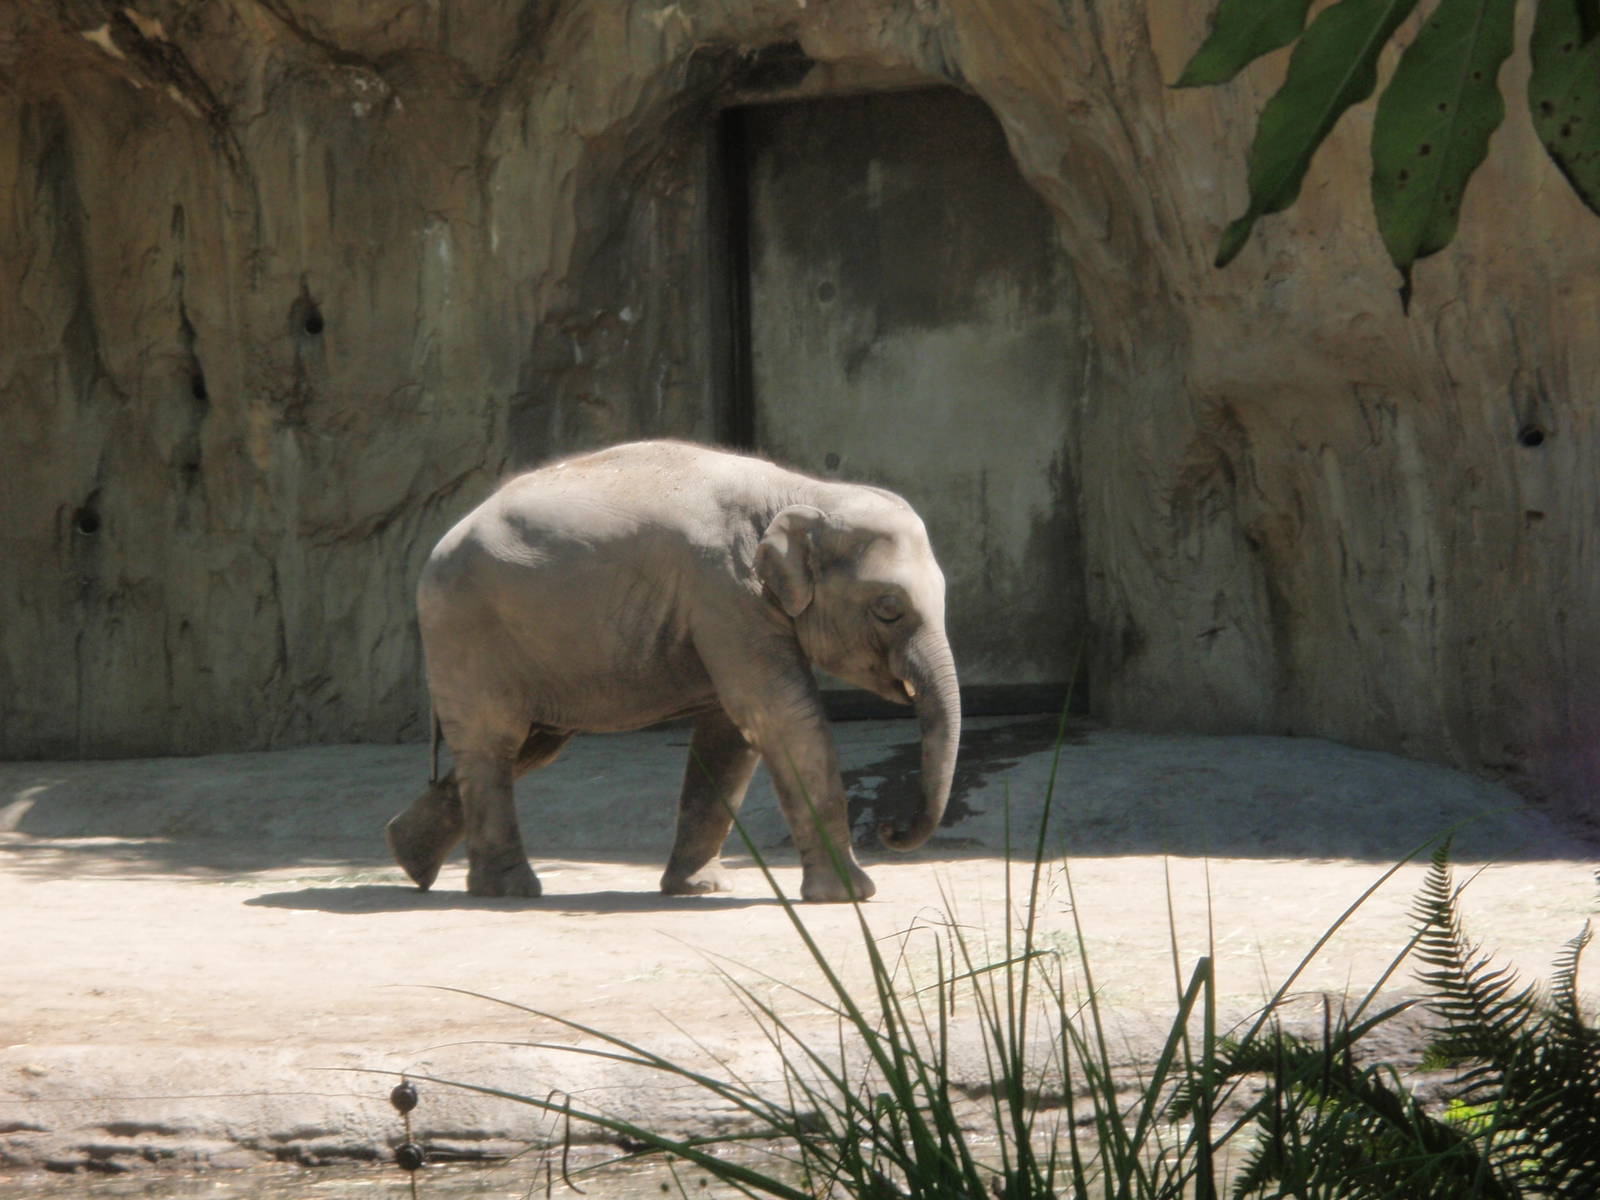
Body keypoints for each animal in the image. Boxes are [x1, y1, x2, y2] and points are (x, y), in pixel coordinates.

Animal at [385, 439, 960, 902]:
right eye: (888, 608)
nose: (889, 830)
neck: (803, 492)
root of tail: (441, 542)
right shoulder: (726, 590)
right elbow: (779, 715)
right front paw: (851, 895)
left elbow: (731, 736)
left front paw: (699, 889)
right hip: (464, 630)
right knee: (496, 743)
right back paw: (508, 891)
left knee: (530, 746)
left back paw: (409, 857)